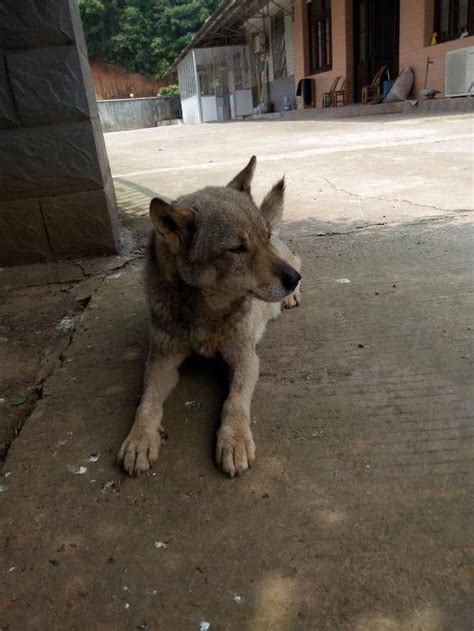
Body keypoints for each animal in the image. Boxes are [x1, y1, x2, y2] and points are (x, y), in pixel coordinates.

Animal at [117, 156, 300, 476]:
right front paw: (140, 438)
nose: (292, 280)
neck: (205, 311)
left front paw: (234, 439)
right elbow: (147, 402)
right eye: (237, 249)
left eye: (263, 238)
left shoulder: (245, 358)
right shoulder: (161, 362)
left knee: (299, 258)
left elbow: (234, 401)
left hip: (289, 259)